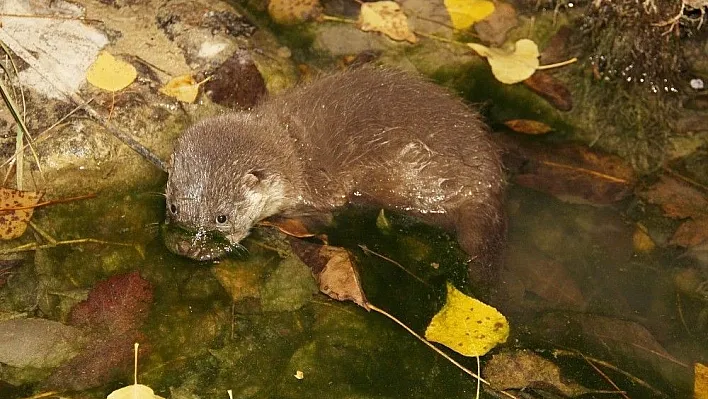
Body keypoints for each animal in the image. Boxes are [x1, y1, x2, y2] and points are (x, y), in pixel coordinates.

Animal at [166, 67, 506, 282]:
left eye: (221, 217)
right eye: (173, 207)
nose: (188, 247)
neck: (293, 151)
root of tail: (489, 177)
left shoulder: (314, 197)